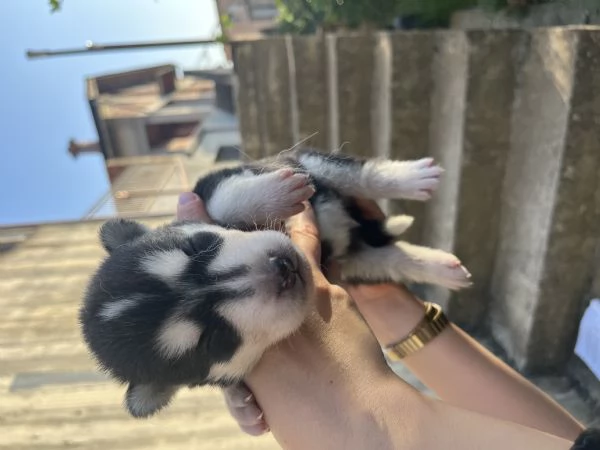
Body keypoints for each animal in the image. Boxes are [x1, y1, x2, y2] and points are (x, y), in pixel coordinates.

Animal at [81, 148, 474, 418]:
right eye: (216, 340)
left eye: (199, 246)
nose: (282, 267)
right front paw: (240, 406)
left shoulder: (210, 183)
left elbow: (223, 196)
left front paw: (273, 193)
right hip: (354, 265)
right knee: (387, 259)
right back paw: (439, 266)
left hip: (321, 170)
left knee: (352, 173)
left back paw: (412, 179)